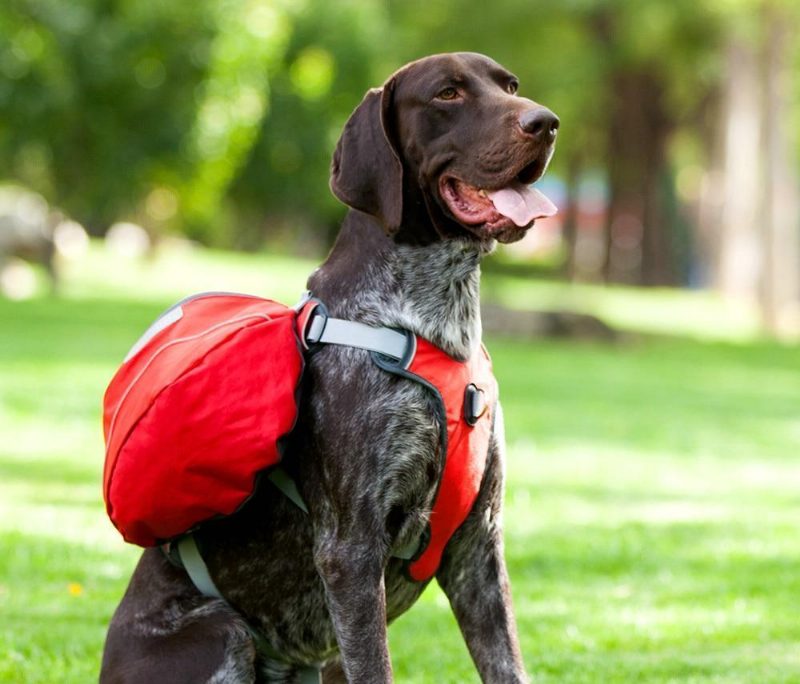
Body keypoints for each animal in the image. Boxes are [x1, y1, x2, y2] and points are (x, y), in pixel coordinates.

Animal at [101, 52, 556, 684]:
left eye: (510, 85)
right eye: (448, 93)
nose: (547, 122)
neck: (433, 323)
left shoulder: (478, 552)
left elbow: (506, 662)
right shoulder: (351, 551)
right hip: (224, 633)